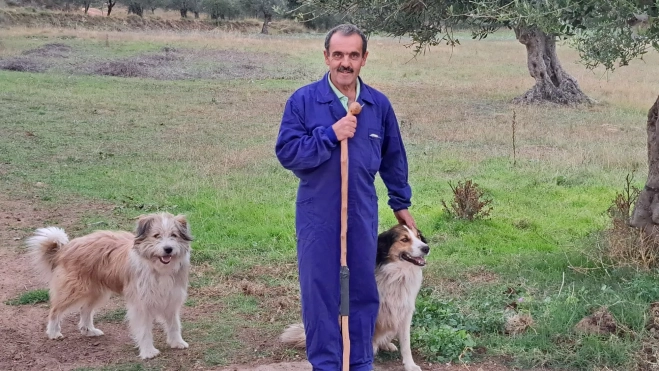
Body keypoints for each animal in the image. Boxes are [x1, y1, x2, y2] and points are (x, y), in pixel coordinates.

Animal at [28, 212, 193, 360]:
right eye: (156, 235)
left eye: (174, 235)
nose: (168, 249)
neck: (158, 269)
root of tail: (65, 248)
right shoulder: (141, 304)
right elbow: (144, 330)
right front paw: (148, 352)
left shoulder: (172, 298)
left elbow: (174, 324)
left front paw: (177, 342)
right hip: (73, 290)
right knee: (55, 310)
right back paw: (53, 332)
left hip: (96, 292)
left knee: (85, 309)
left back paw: (89, 330)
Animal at [278, 224, 428, 371]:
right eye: (404, 239)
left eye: (418, 236)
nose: (427, 248)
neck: (396, 276)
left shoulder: (405, 313)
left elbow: (406, 344)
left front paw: (410, 365)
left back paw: (387, 345)